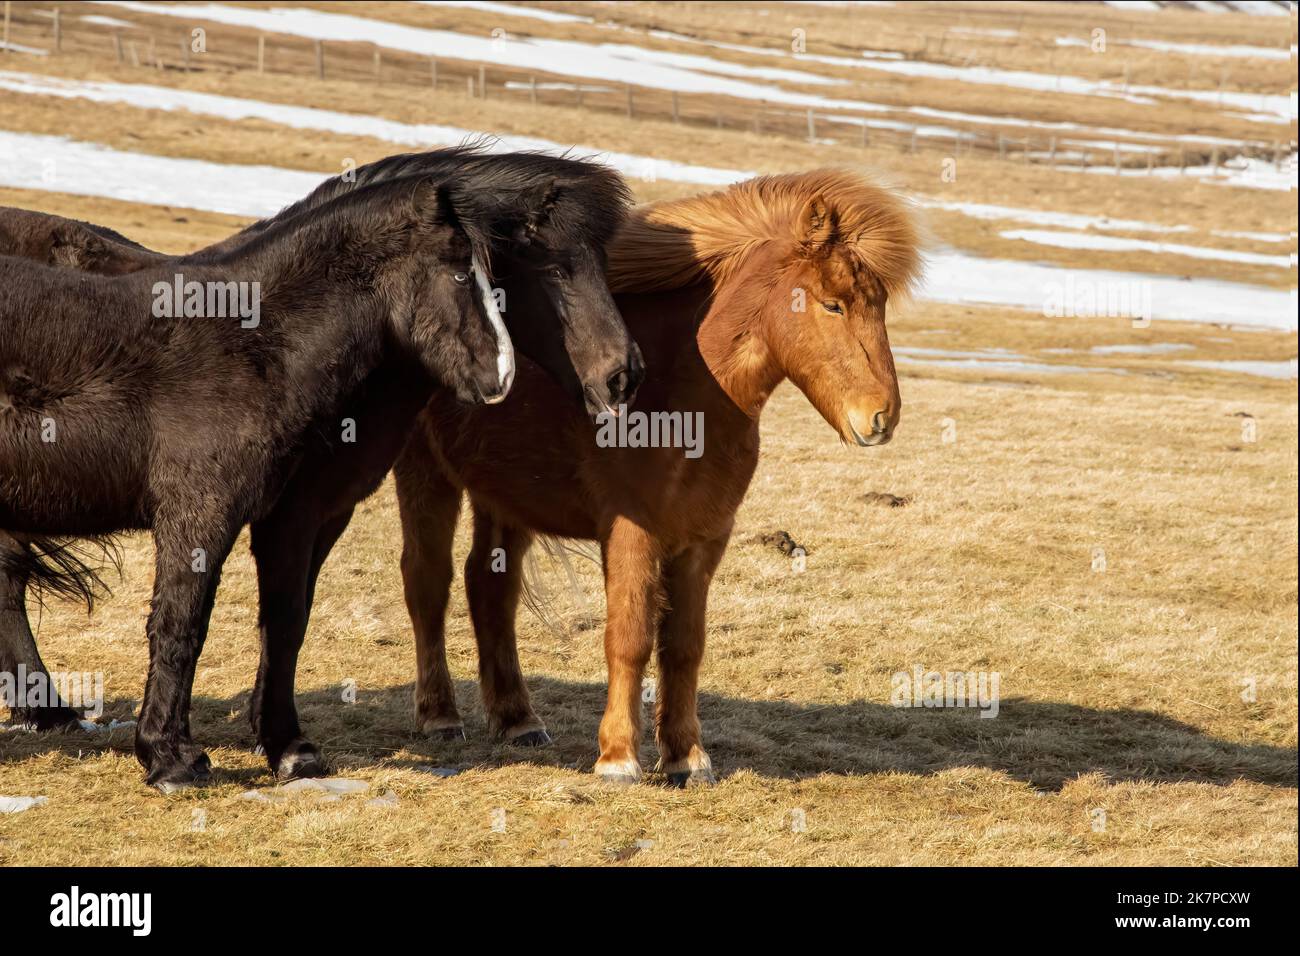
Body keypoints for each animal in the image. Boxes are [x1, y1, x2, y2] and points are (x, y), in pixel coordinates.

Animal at [1, 148, 643, 783]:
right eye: (548, 267)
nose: (622, 376)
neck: (247, 344)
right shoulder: (212, 512)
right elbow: (185, 622)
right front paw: (173, 757)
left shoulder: (319, 513)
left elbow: (287, 620)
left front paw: (284, 744)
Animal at [394, 170, 923, 785]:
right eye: (832, 305)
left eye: (879, 305)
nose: (882, 416)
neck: (682, 395)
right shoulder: (632, 533)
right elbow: (629, 638)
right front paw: (618, 757)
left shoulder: (703, 541)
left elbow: (684, 646)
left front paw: (686, 756)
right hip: (426, 475)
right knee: (427, 581)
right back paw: (439, 715)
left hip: (503, 498)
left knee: (489, 590)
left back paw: (518, 719)